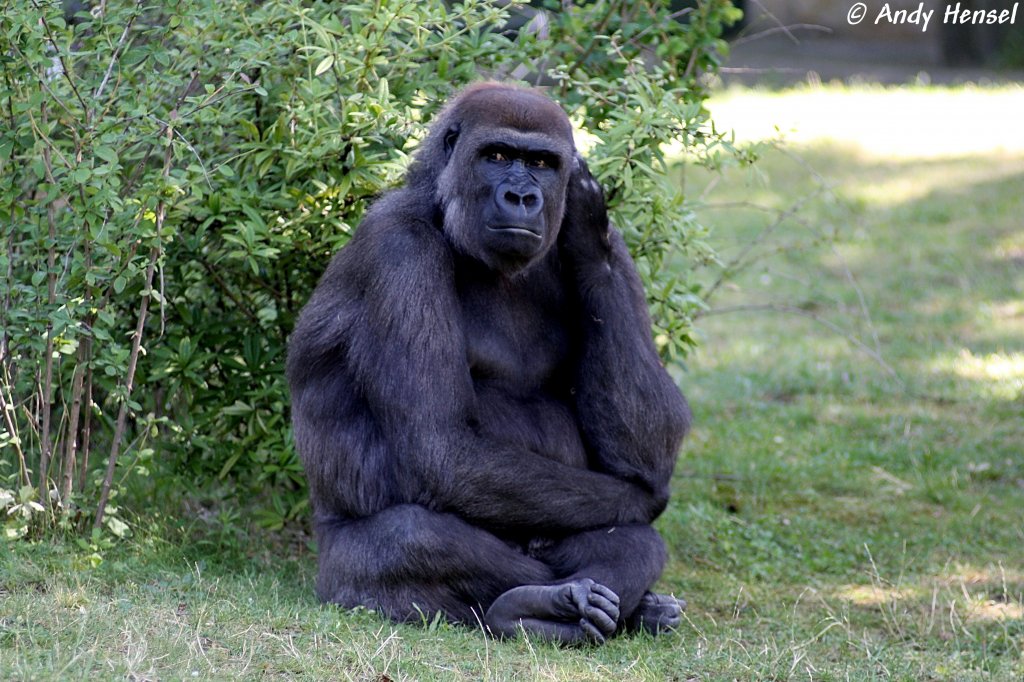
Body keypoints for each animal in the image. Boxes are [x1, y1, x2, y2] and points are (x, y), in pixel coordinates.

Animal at [284, 82, 692, 638]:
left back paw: (627, 608)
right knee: (410, 538)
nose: (521, 197)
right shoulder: (398, 248)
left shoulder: (618, 246)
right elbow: (441, 448)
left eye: (540, 163)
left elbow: (654, 434)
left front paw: (586, 233)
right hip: (335, 576)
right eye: (496, 156)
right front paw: (645, 500)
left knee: (631, 544)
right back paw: (532, 607)